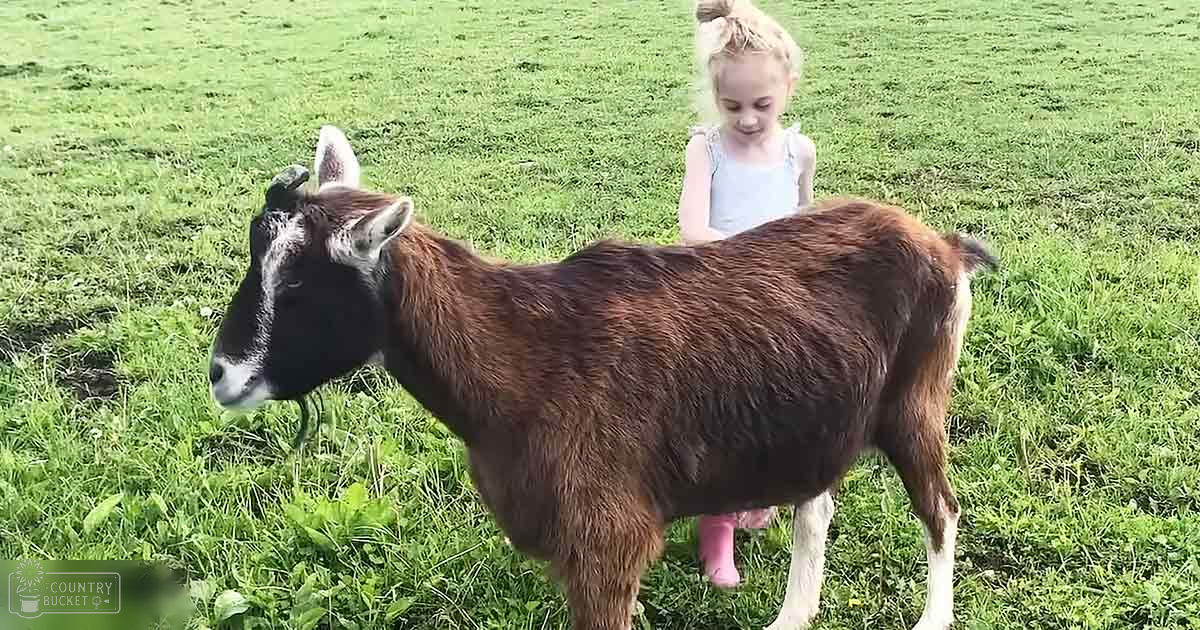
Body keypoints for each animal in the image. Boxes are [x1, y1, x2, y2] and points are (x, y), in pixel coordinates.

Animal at [207, 125, 997, 630]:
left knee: (942, 509)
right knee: (818, 505)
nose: (221, 374)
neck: (525, 363)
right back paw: (792, 616)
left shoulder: (606, 536)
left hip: (916, 400)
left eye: (302, 289)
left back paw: (930, 619)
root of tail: (944, 246)